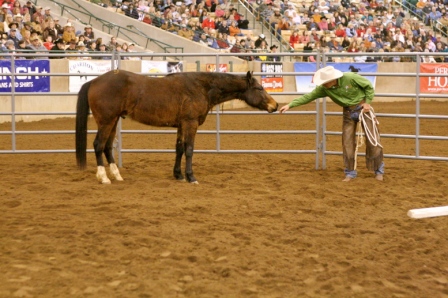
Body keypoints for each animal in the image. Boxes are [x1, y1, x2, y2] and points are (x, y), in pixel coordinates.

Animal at [74, 70, 276, 184]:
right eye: (259, 89)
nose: (274, 106)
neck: (201, 87)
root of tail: (94, 81)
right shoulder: (191, 123)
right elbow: (189, 149)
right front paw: (191, 177)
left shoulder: (181, 125)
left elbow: (179, 148)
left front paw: (178, 175)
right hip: (106, 121)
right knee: (98, 145)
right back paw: (104, 177)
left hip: (114, 121)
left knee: (107, 147)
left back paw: (116, 175)